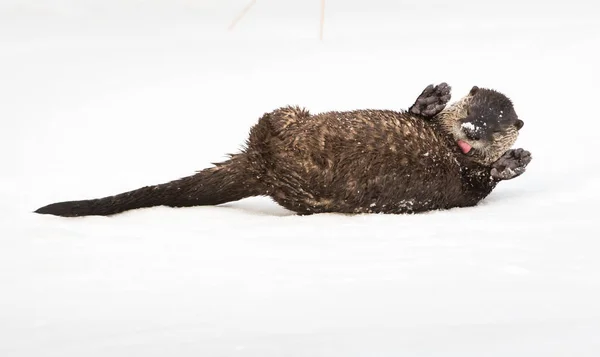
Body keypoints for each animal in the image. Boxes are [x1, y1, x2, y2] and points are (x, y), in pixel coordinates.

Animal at [34, 82, 528, 217]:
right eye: (473, 109)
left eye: (495, 124)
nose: (471, 130)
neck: (450, 149)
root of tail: (264, 166)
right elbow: (414, 111)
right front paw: (432, 97)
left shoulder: (467, 187)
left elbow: (478, 184)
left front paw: (513, 161)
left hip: (282, 120)